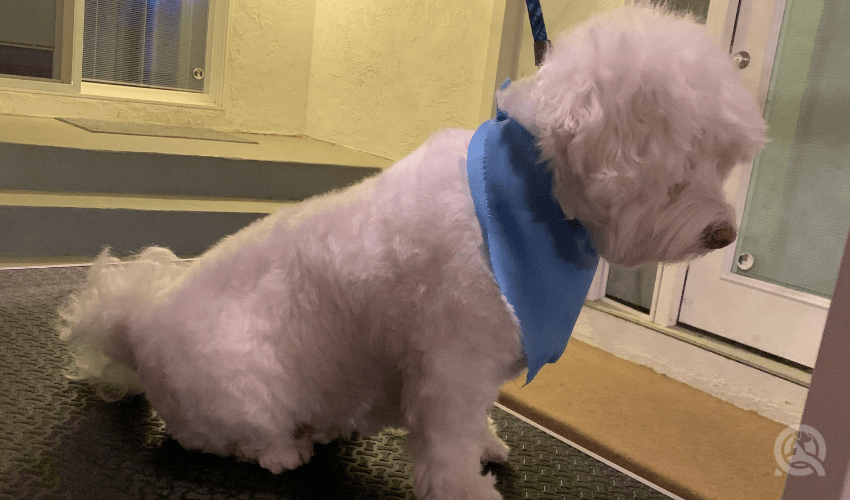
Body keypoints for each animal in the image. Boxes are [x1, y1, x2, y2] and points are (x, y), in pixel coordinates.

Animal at [58, 4, 760, 500]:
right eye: (684, 166)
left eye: (723, 162)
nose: (723, 235)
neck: (527, 199)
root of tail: (135, 319)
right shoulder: (451, 362)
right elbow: (446, 444)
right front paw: (465, 490)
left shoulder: (482, 361)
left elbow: (476, 422)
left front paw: (487, 445)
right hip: (240, 392)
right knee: (222, 438)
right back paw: (284, 449)